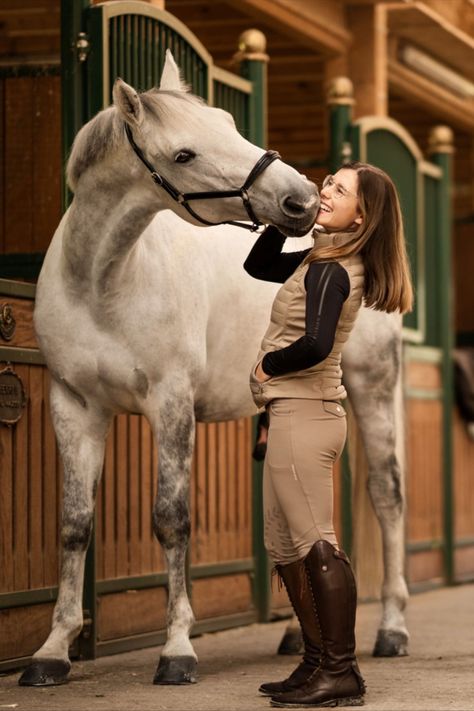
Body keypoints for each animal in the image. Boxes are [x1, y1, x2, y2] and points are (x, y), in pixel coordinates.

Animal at [19, 52, 408, 688]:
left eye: (227, 123)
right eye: (183, 154)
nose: (302, 198)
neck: (103, 282)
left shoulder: (171, 402)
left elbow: (172, 519)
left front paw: (177, 650)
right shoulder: (74, 405)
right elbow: (74, 524)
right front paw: (52, 651)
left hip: (373, 389)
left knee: (387, 496)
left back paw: (393, 630)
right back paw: (297, 634)